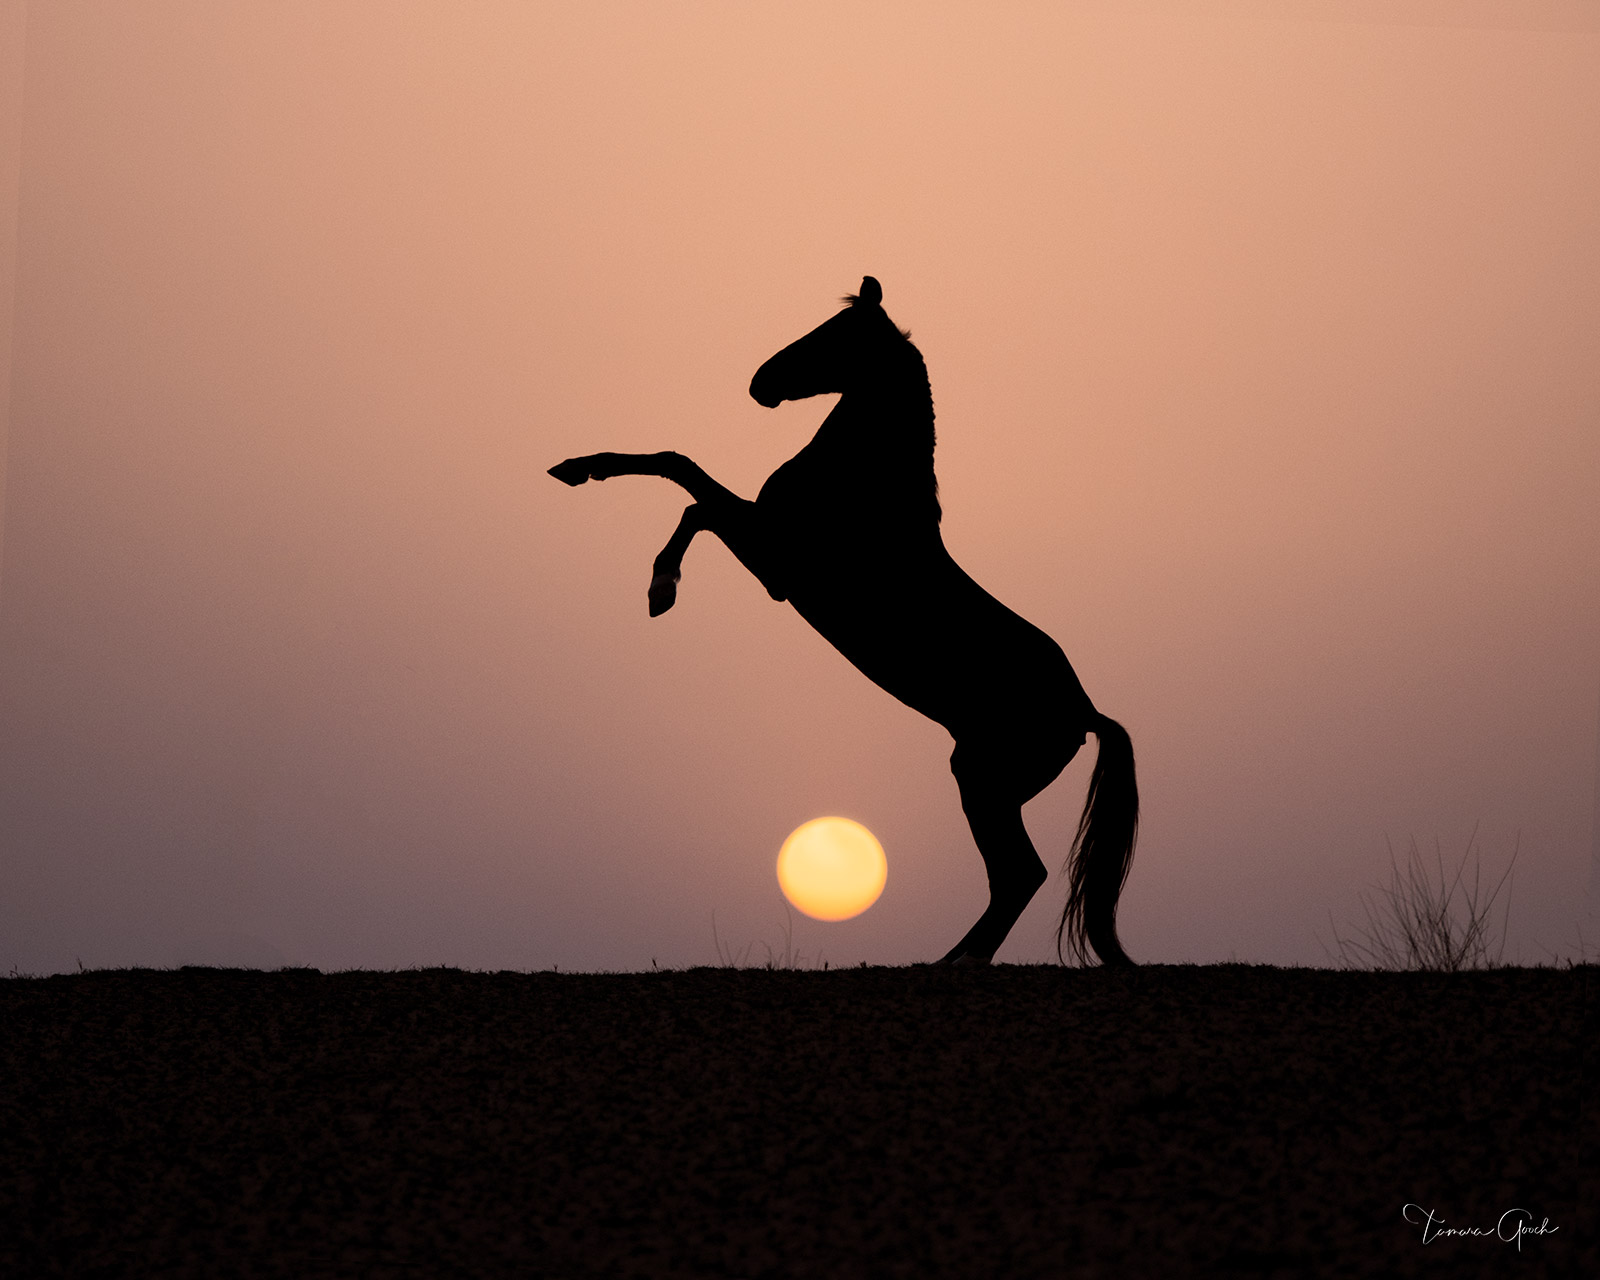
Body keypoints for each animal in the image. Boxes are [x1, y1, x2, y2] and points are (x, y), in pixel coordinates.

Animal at [550, 277, 1138, 965]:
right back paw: (953, 961)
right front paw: (584, 477)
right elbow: (689, 483)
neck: (862, 485)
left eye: (834, 336)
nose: (760, 382)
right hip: (986, 780)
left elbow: (690, 486)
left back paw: (951, 964)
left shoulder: (776, 562)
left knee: (1020, 874)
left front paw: (658, 584)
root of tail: (1085, 712)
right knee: (1015, 877)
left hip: (985, 780)